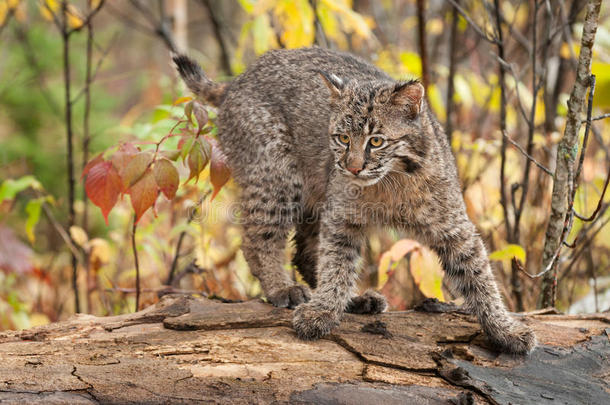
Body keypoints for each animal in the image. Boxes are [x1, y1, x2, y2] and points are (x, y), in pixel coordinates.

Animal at [173, 47, 536, 354]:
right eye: (343, 138)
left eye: (376, 141)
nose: (352, 167)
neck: (391, 183)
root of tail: (238, 80)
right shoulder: (342, 217)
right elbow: (337, 263)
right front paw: (322, 311)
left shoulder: (453, 227)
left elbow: (479, 275)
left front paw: (505, 330)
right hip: (277, 175)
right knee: (257, 238)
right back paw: (282, 289)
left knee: (303, 251)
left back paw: (355, 300)